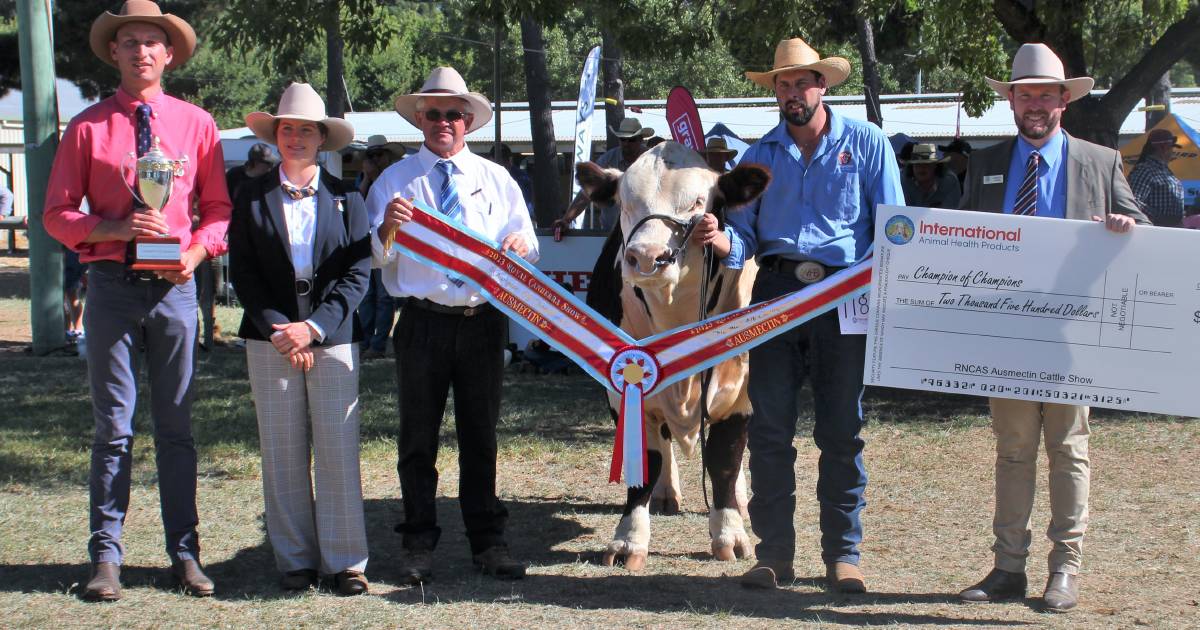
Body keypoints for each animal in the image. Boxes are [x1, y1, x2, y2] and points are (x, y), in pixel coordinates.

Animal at [578, 142, 768, 568]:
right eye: (625, 202)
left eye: (698, 202)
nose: (648, 257)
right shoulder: (622, 390)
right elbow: (646, 463)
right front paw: (629, 539)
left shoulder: (741, 389)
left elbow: (725, 459)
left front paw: (730, 533)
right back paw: (666, 494)